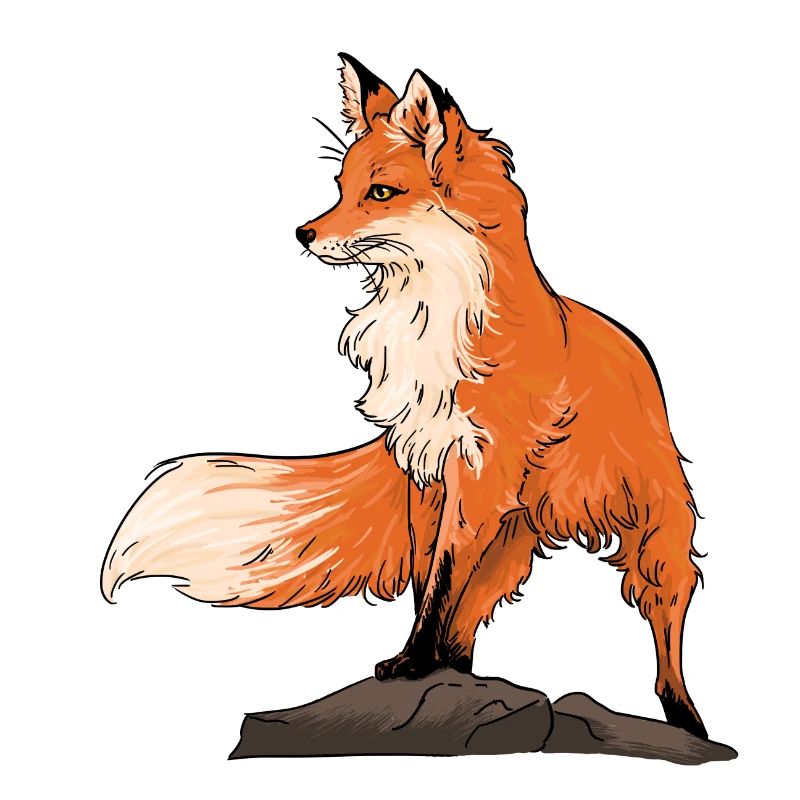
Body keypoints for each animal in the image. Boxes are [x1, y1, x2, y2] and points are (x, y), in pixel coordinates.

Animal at [101, 54, 709, 740]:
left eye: (381, 193)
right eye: (340, 185)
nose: (302, 233)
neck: (428, 321)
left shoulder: (476, 475)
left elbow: (440, 583)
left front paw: (415, 664)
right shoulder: (426, 469)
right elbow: (429, 586)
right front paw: (419, 666)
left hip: (654, 525)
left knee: (665, 619)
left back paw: (686, 717)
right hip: (510, 536)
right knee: (470, 620)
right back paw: (463, 673)